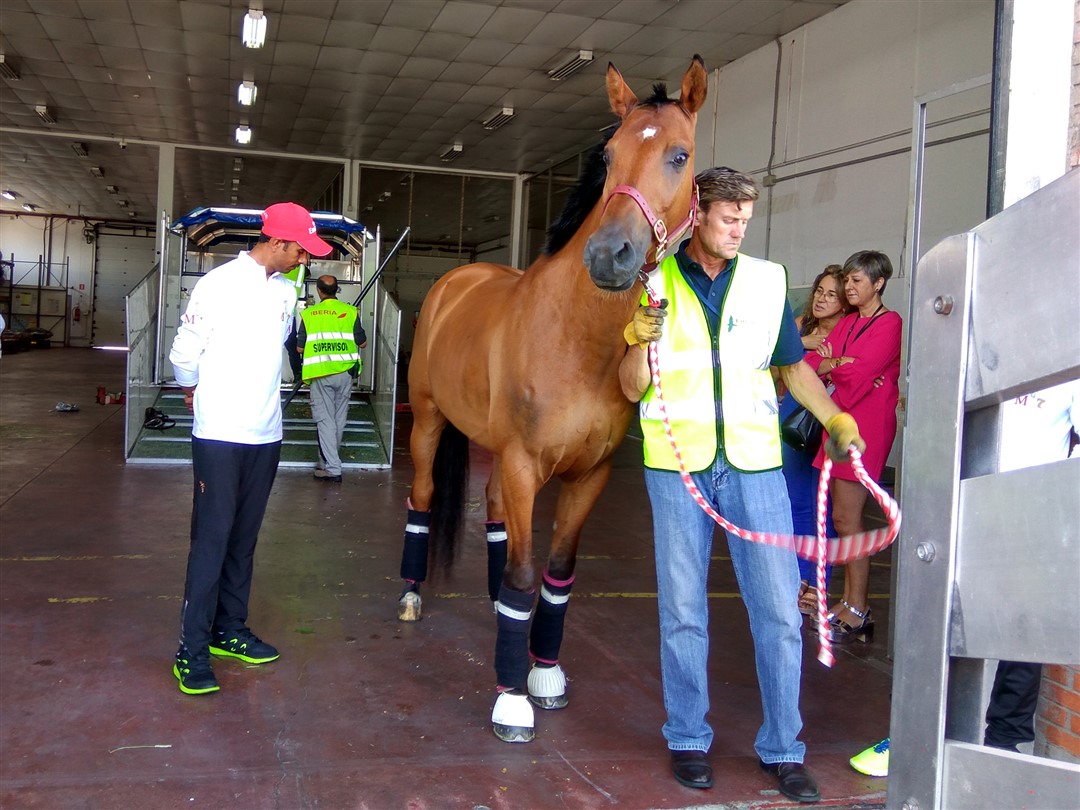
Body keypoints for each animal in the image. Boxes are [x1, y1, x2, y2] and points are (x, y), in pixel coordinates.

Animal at [397, 55, 708, 743]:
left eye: (679, 155)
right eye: (609, 154)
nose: (610, 255)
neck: (577, 338)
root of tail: (458, 277)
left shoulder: (589, 475)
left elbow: (556, 573)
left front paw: (542, 672)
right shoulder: (523, 464)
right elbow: (522, 572)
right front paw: (512, 700)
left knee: (490, 511)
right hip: (429, 423)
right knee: (424, 498)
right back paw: (410, 594)